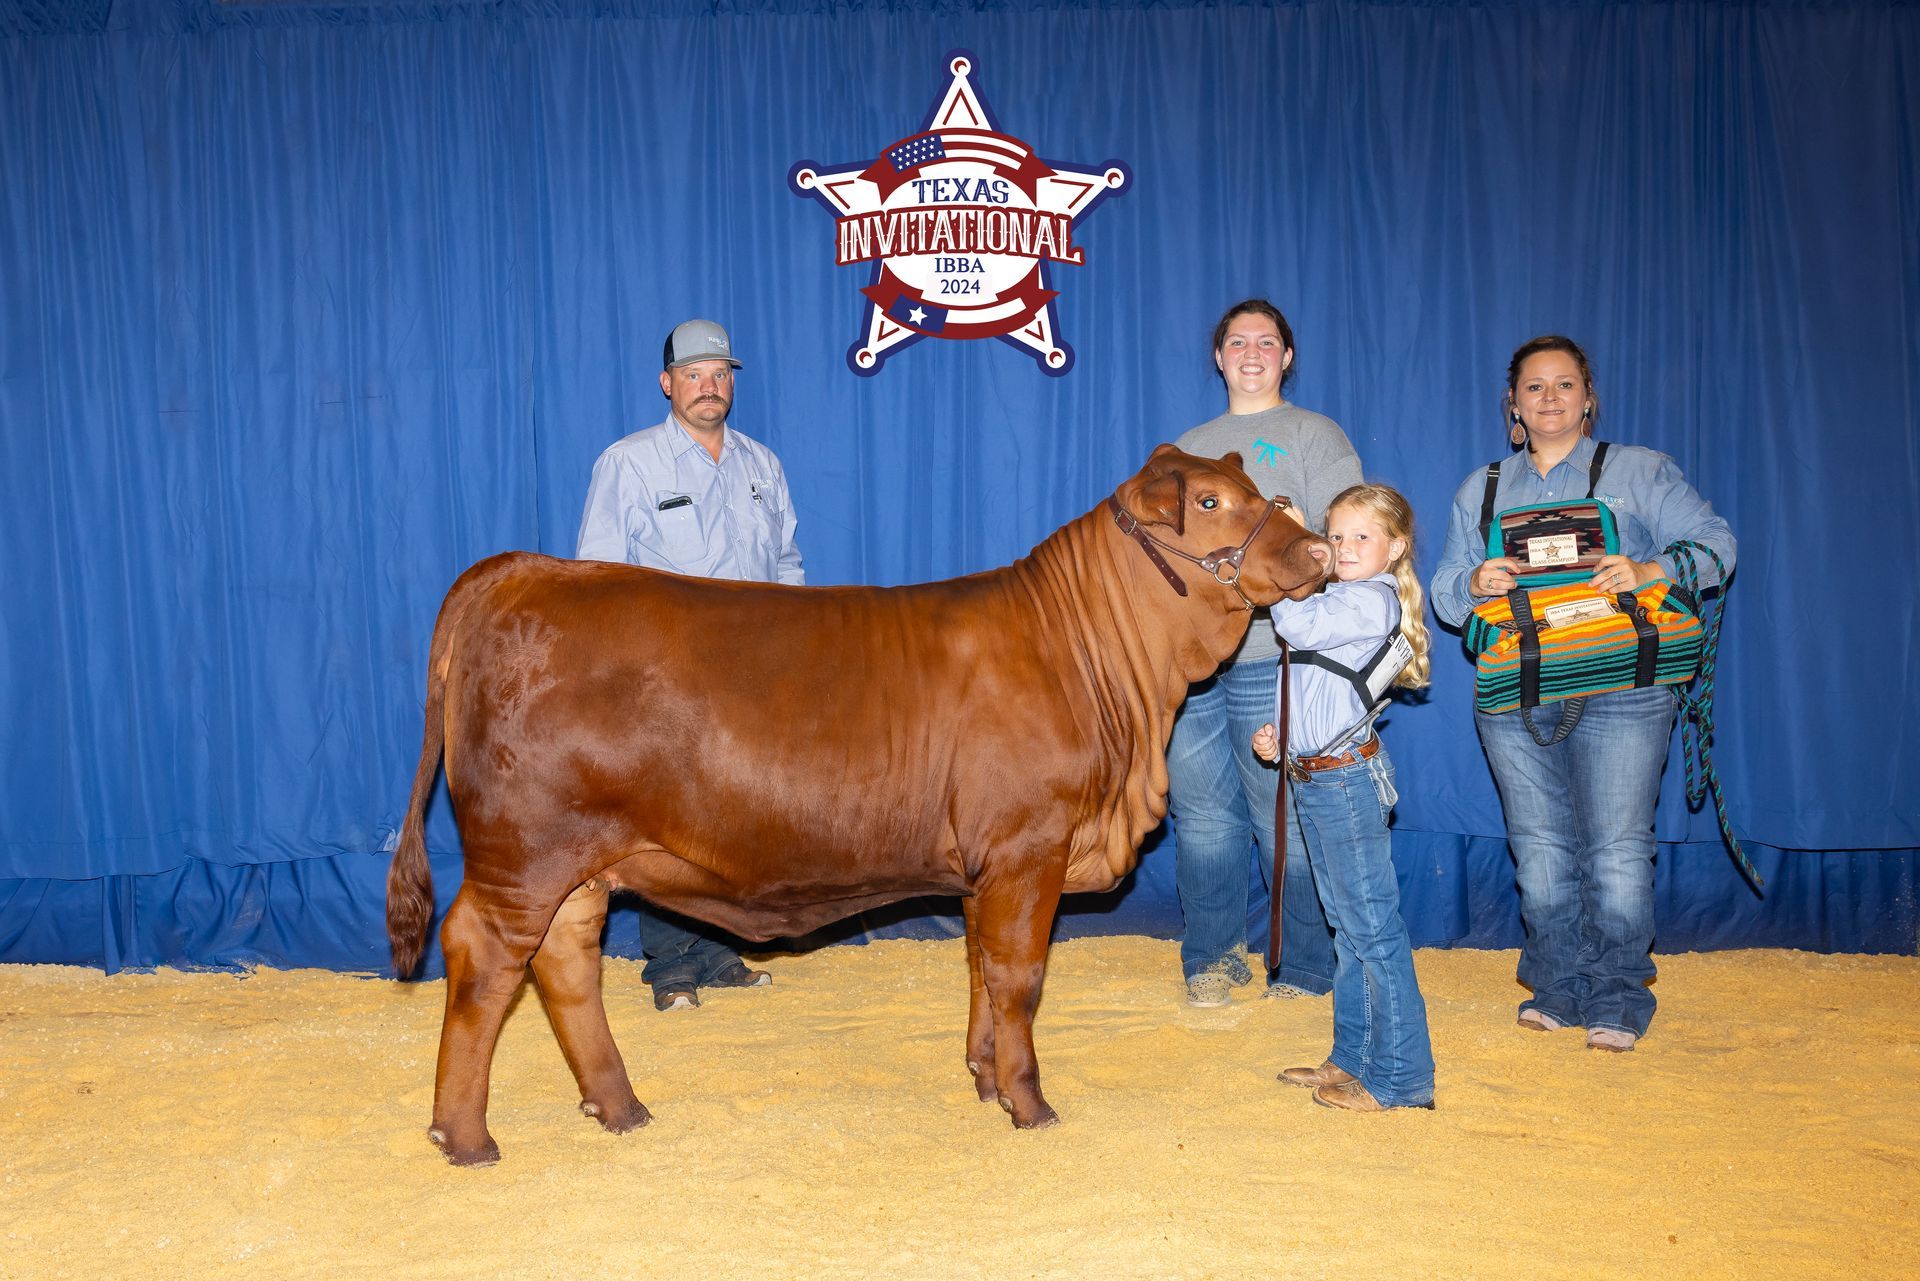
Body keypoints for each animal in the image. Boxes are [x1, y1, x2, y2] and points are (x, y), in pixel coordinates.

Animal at [387, 445, 1331, 1166]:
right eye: (1210, 501)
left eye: (1261, 493)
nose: (1318, 553)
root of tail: (524, 571)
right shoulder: (1029, 844)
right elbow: (1019, 978)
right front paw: (1029, 1104)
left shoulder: (987, 865)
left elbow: (982, 969)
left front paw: (984, 1078)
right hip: (525, 849)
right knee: (485, 955)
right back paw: (465, 1136)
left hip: (578, 862)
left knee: (565, 961)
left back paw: (619, 1107)